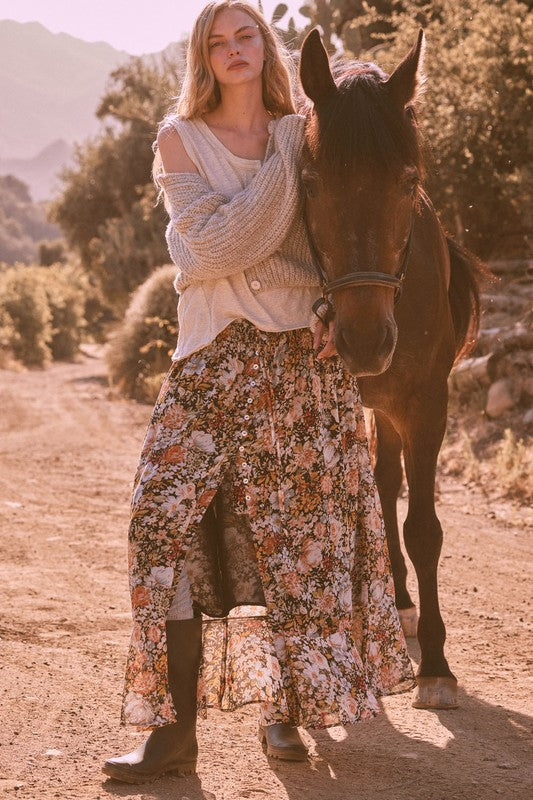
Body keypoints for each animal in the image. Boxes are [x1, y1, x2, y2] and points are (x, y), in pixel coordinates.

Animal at [300, 28, 486, 708]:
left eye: (409, 183)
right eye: (310, 183)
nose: (362, 340)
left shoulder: (426, 405)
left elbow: (424, 529)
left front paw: (435, 664)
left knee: (387, 485)